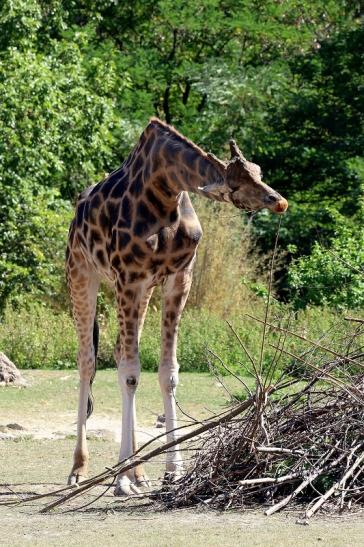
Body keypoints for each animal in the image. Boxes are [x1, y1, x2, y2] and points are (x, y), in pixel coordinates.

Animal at [64, 119, 288, 496]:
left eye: (258, 171)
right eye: (236, 181)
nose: (279, 201)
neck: (166, 187)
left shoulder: (178, 278)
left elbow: (167, 373)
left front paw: (172, 472)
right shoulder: (128, 277)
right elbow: (130, 374)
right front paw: (121, 480)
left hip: (141, 292)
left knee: (118, 352)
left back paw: (139, 473)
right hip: (82, 273)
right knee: (87, 362)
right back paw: (79, 470)